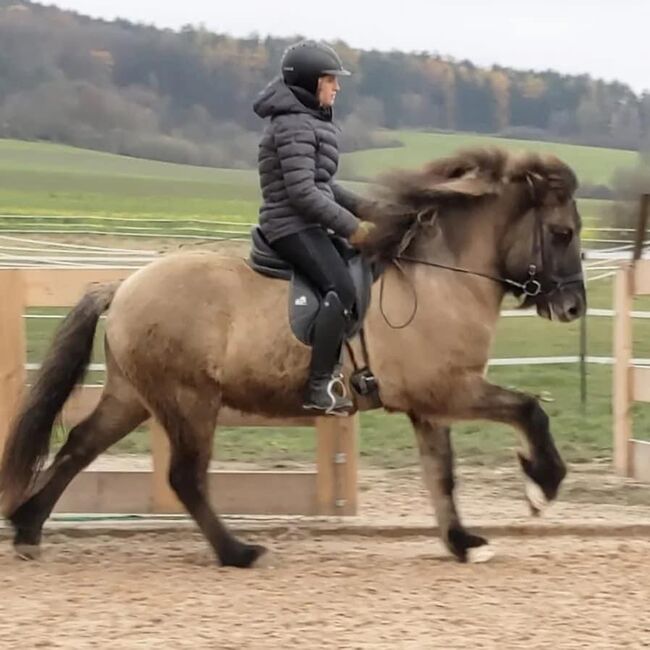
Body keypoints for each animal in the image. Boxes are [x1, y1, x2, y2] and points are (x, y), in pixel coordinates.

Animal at [0, 146, 584, 560]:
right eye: (561, 233)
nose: (573, 306)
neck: (439, 279)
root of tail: (123, 286)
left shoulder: (430, 403)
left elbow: (441, 474)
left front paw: (462, 542)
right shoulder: (449, 389)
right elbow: (529, 410)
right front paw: (541, 487)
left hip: (132, 395)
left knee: (79, 446)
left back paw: (27, 530)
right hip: (188, 400)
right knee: (184, 476)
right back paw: (237, 553)